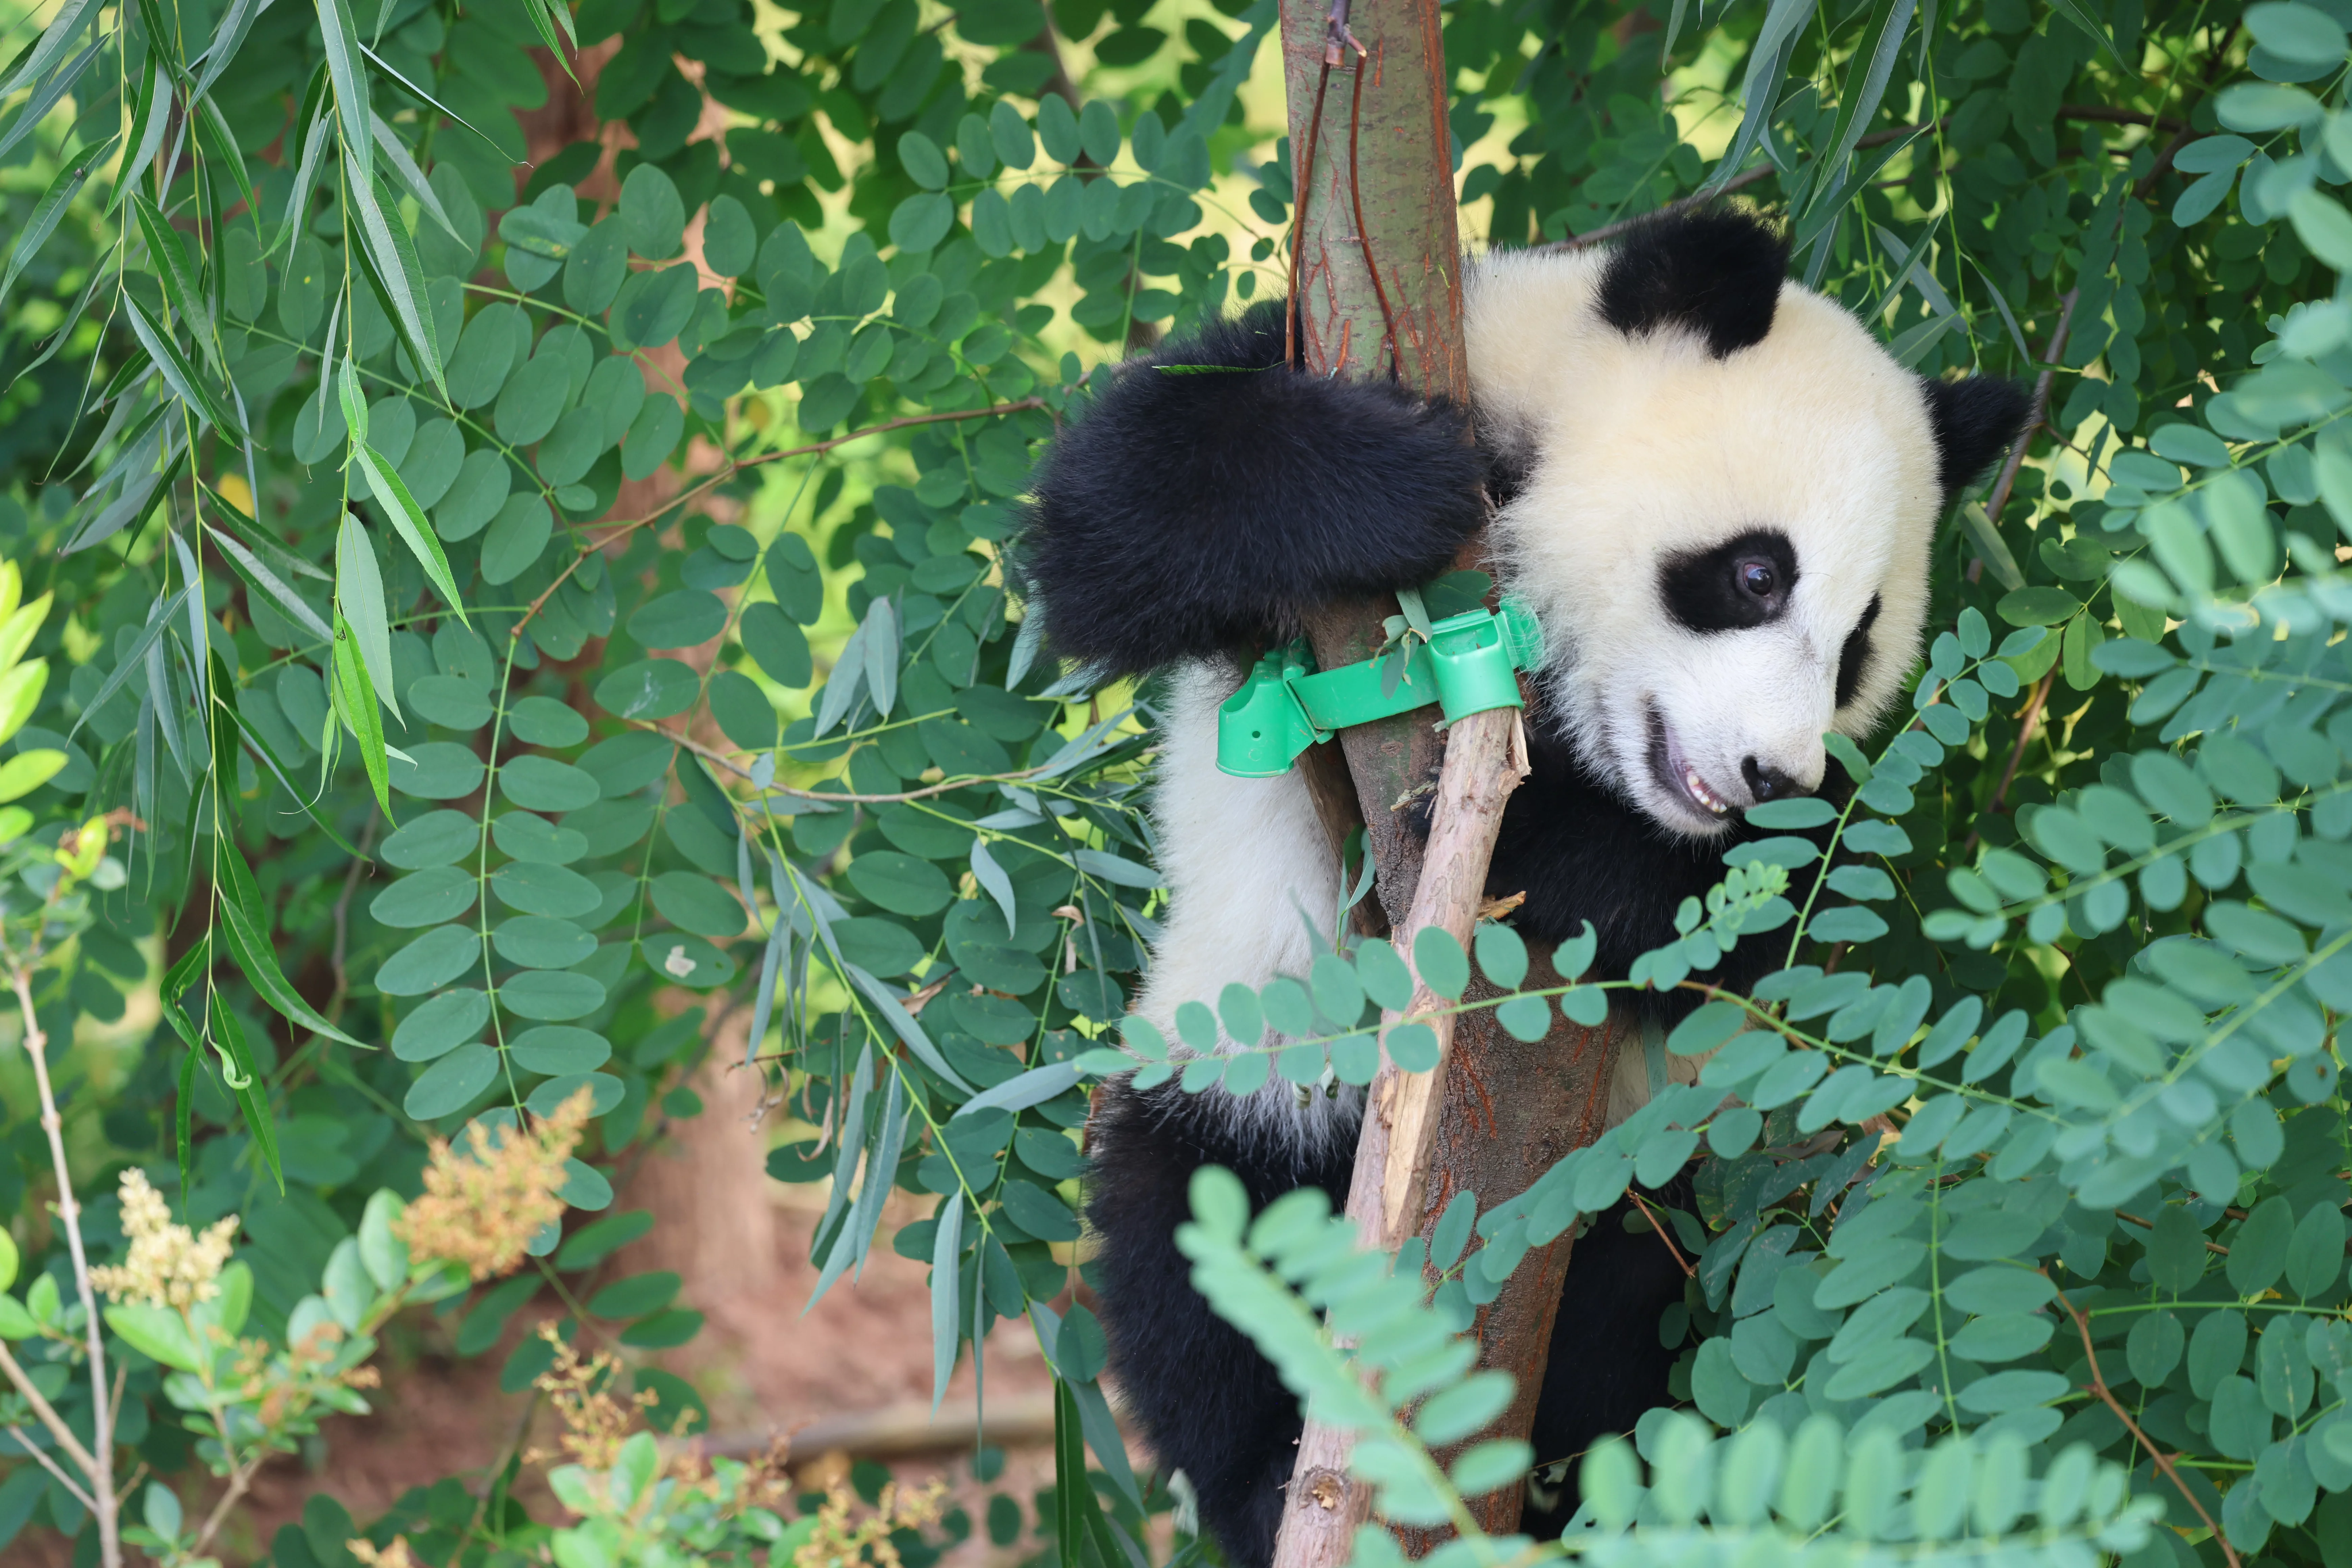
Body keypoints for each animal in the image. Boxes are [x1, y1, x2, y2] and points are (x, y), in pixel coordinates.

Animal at [1017, 209, 2030, 1567]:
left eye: (1861, 641)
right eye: (1755, 575)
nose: (1767, 772)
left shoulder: (1801, 858)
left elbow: (1753, 920)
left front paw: (1532, 837)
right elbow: (1117, 503)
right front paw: (1388, 487)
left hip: (1676, 1176)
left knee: (1630, 1312)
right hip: (1246, 1053)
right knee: (1193, 1228)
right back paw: (1267, 1477)